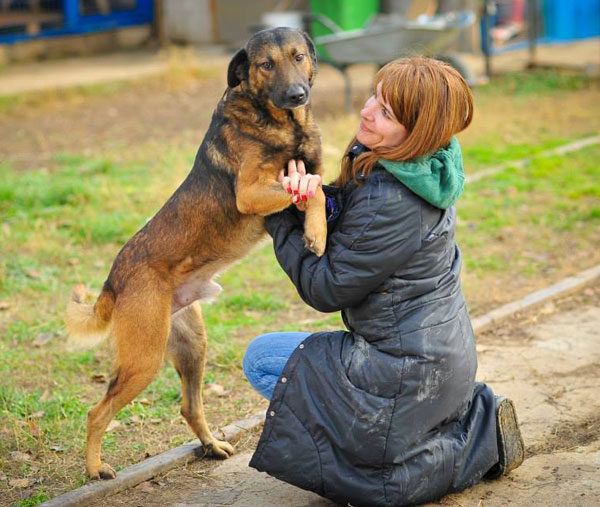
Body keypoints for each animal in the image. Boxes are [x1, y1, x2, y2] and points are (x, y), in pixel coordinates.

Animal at [66, 27, 326, 480]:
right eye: (266, 64)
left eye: (298, 56)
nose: (297, 94)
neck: (278, 122)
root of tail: (113, 279)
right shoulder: (251, 193)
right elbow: (316, 191)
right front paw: (317, 235)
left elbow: (318, 187)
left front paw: (318, 232)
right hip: (144, 359)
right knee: (97, 412)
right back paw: (96, 468)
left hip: (192, 347)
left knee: (189, 406)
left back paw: (210, 446)